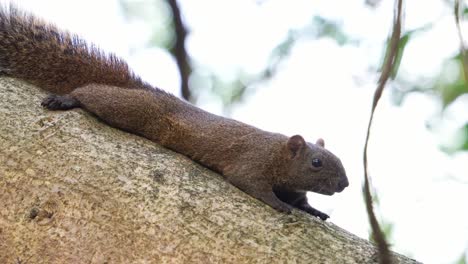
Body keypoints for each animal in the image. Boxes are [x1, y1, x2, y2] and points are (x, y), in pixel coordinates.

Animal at [0, 6, 348, 221]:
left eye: (339, 160)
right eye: (316, 163)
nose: (344, 185)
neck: (278, 154)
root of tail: (146, 91)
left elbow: (300, 200)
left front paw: (313, 210)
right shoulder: (253, 162)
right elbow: (251, 183)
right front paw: (278, 204)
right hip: (133, 109)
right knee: (92, 95)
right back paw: (67, 99)